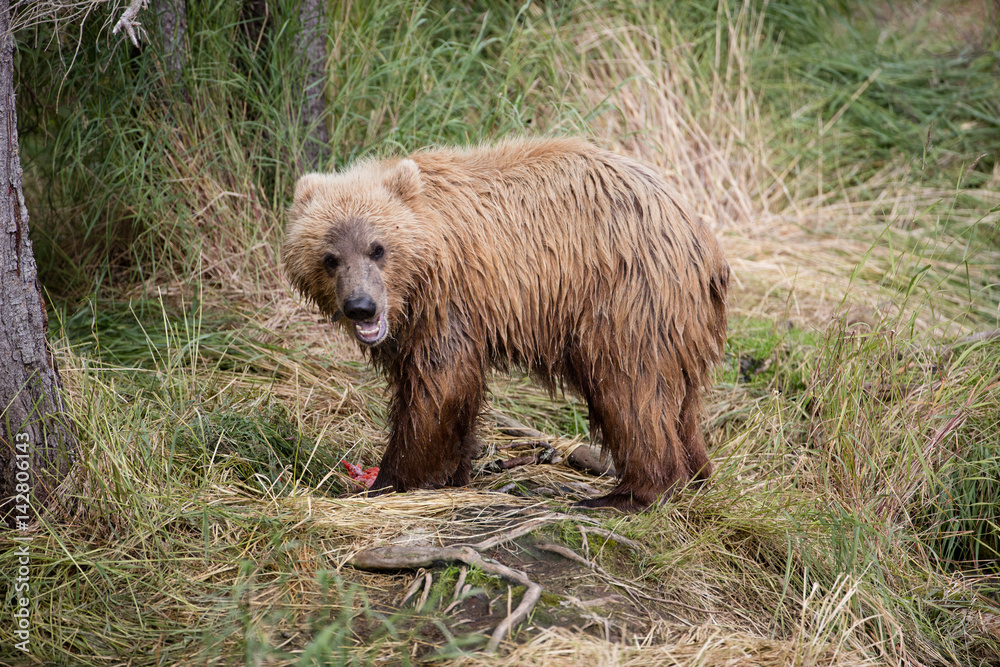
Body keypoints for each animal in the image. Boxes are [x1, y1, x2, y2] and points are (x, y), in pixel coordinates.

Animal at [283, 137, 729, 511]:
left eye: (377, 248)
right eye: (329, 257)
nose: (361, 307)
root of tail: (701, 236)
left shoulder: (450, 302)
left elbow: (437, 386)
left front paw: (390, 479)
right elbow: (453, 396)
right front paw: (450, 472)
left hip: (626, 295)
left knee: (630, 386)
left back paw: (629, 494)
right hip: (679, 319)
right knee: (682, 400)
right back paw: (698, 473)